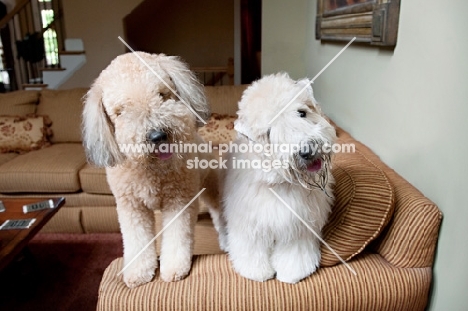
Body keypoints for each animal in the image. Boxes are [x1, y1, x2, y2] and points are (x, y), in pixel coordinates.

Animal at [81, 52, 222, 288]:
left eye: (162, 94)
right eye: (120, 112)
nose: (157, 135)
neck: (152, 168)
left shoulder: (179, 202)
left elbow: (177, 236)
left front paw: (173, 267)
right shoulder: (132, 207)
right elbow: (136, 241)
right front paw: (138, 272)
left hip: (210, 183)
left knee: (219, 208)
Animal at [221, 73, 334, 286]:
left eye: (301, 112)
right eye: (269, 132)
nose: (307, 151)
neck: (280, 184)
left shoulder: (298, 226)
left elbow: (294, 253)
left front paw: (293, 272)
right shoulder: (249, 225)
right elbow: (250, 250)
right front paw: (256, 272)